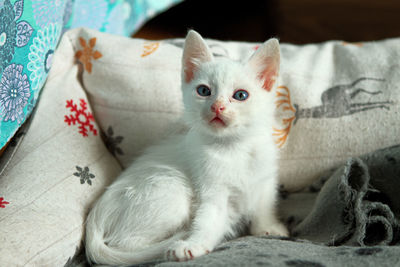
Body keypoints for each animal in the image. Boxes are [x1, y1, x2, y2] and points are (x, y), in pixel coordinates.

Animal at [85, 30, 288, 266]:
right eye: (204, 91)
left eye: (240, 95)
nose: (217, 107)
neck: (233, 147)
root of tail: (94, 220)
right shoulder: (211, 191)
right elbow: (208, 220)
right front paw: (194, 244)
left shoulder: (265, 180)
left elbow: (264, 206)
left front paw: (269, 227)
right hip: (171, 192)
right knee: (126, 243)